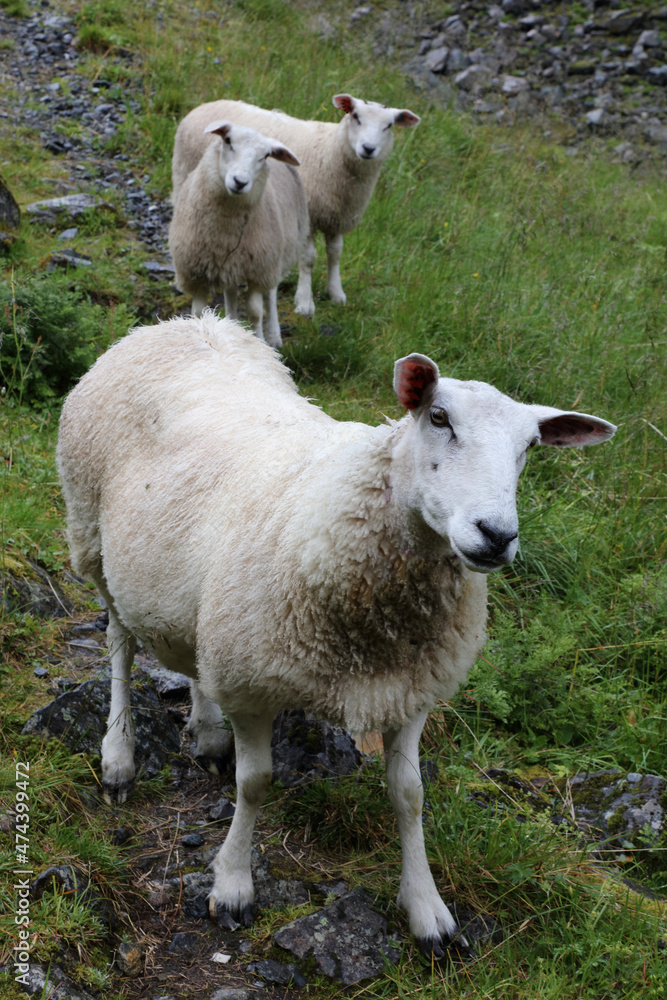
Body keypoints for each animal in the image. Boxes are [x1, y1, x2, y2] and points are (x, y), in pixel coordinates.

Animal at [56, 313, 616, 957]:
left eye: (529, 447)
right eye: (439, 417)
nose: (496, 535)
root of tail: (184, 322)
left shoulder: (410, 689)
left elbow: (409, 794)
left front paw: (427, 908)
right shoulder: (252, 681)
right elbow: (255, 783)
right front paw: (233, 883)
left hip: (197, 593)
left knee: (191, 654)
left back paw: (207, 731)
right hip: (92, 535)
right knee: (120, 646)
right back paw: (119, 755)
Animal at [168, 120, 309, 348]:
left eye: (265, 156)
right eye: (228, 141)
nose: (240, 182)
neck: (224, 231)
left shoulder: (258, 270)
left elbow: (255, 313)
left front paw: (259, 340)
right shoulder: (196, 272)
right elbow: (198, 313)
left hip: (273, 258)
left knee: (270, 294)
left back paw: (274, 336)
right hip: (231, 265)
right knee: (231, 292)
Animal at [172, 95, 421, 317]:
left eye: (388, 125)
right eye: (356, 116)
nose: (368, 148)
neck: (331, 151)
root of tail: (202, 106)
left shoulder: (336, 214)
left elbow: (335, 253)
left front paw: (336, 293)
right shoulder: (308, 215)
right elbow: (309, 258)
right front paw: (304, 302)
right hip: (185, 179)